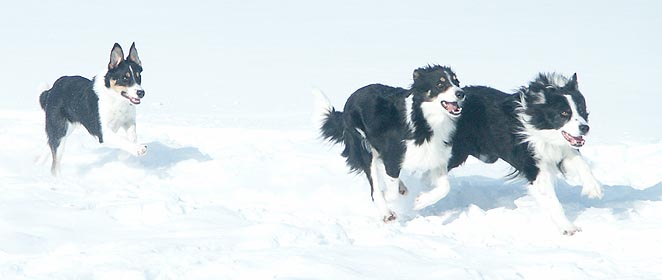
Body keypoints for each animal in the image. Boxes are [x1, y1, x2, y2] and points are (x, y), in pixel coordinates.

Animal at [40, 42, 148, 175]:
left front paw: (123, 155)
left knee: (49, 145)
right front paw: (138, 149)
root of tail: (51, 90)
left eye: (139, 77)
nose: (141, 93)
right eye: (125, 77)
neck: (116, 100)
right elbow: (121, 139)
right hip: (59, 129)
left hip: (64, 129)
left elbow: (132, 137)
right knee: (54, 165)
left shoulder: (129, 121)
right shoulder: (102, 132)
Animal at [316, 65, 466, 221]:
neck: (424, 120)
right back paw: (386, 212)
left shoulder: (437, 158)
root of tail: (348, 103)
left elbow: (445, 188)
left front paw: (420, 201)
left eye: (456, 82)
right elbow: (390, 192)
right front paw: (387, 196)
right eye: (440, 84)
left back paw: (401, 188)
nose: (461, 93)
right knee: (374, 187)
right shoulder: (393, 157)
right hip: (363, 147)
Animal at [448, 72, 604, 234]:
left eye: (582, 111)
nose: (585, 128)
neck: (538, 124)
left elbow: (580, 161)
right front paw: (568, 227)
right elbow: (552, 200)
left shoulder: (560, 148)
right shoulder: (534, 164)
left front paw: (593, 188)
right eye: (564, 113)